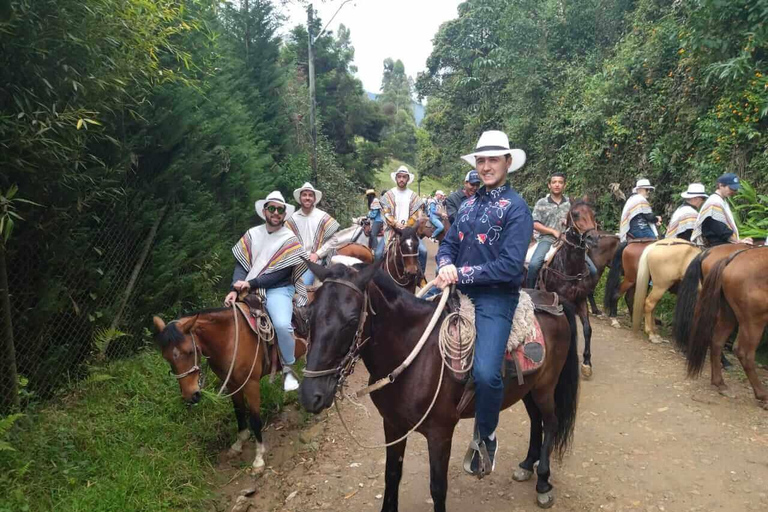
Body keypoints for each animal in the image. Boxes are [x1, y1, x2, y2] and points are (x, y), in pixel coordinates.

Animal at [152, 304, 308, 472]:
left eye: (190, 351)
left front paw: (259, 458)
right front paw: (239, 444)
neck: (230, 339)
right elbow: (239, 412)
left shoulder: (251, 384)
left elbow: (255, 420)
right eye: (166, 357)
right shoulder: (232, 384)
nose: (191, 395)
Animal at [296, 262, 580, 510]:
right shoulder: (393, 425)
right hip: (528, 389)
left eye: (352, 319)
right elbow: (392, 476)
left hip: (545, 387)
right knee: (535, 421)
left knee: (551, 422)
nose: (311, 395)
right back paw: (527, 465)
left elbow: (438, 488)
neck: (414, 354)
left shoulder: (440, 434)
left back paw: (543, 482)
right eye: (308, 315)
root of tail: (553, 298)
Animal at [540, 202, 600, 378]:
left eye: (593, 213)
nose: (593, 238)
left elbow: (587, 329)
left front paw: (587, 362)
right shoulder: (562, 301)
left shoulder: (580, 299)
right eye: (575, 214)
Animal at [684, 247, 768, 408]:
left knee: (717, 341)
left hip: (729, 314)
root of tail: (731, 259)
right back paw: (763, 395)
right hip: (754, 320)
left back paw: (720, 383)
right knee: (744, 352)